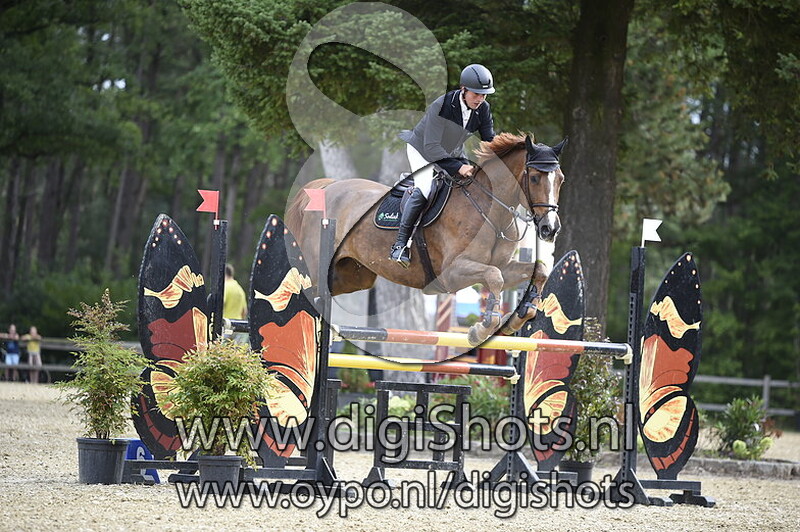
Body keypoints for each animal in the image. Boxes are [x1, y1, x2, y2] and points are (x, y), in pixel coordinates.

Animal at [285, 132, 567, 345]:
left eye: (561, 180)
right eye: (534, 177)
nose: (549, 229)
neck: (490, 209)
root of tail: (326, 187)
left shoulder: (504, 267)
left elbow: (537, 270)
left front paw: (520, 317)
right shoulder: (452, 273)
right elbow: (494, 277)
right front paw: (482, 329)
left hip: (353, 275)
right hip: (318, 268)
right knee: (307, 291)